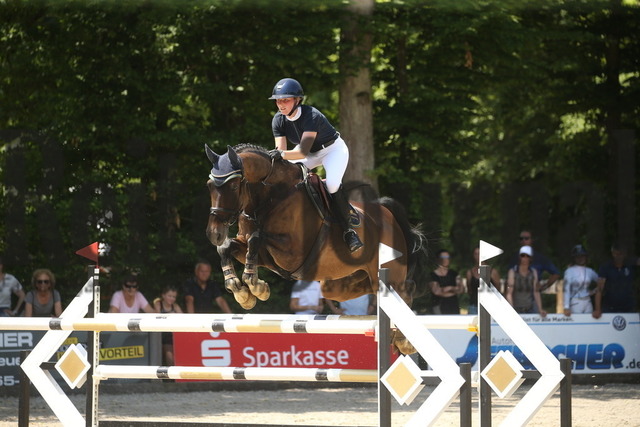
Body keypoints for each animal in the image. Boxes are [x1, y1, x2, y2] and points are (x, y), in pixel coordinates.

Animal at [205, 144, 424, 354]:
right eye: (209, 186)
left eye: (233, 185)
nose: (214, 234)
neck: (270, 196)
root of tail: (387, 213)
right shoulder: (259, 252)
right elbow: (227, 248)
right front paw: (241, 291)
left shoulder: (291, 253)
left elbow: (256, 239)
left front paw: (255, 286)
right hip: (338, 285)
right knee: (368, 289)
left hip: (390, 272)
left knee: (404, 292)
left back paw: (405, 341)